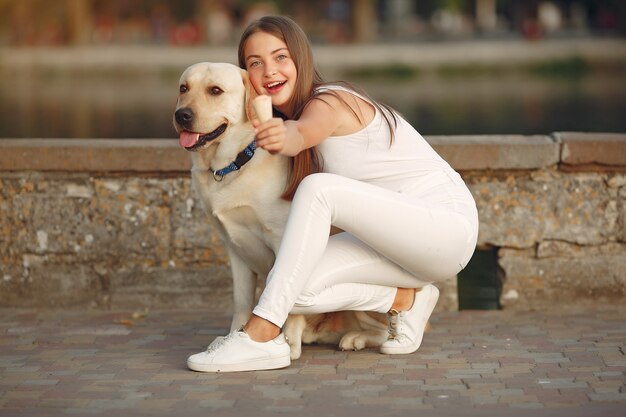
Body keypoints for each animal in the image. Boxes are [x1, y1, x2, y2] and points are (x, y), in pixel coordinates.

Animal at [171, 61, 386, 358]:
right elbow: (241, 302)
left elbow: (287, 297)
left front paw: (287, 342)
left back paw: (357, 338)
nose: (182, 115)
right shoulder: (235, 250)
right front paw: (234, 336)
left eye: (215, 90)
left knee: (384, 329)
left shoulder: (282, 236)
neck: (234, 163)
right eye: (184, 88)